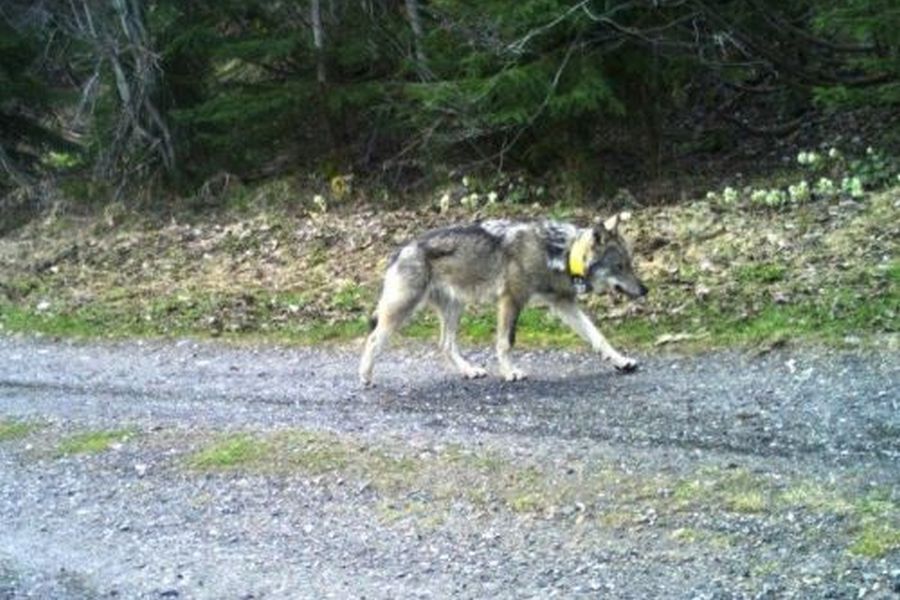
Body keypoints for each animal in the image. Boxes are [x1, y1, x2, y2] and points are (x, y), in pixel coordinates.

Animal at [358, 213, 648, 386]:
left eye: (630, 264)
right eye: (620, 266)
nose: (645, 290)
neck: (559, 253)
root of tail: (401, 249)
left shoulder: (564, 304)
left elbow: (598, 336)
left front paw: (621, 361)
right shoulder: (511, 300)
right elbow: (506, 343)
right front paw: (510, 373)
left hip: (455, 309)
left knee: (445, 345)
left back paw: (469, 370)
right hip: (403, 310)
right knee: (373, 339)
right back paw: (365, 376)